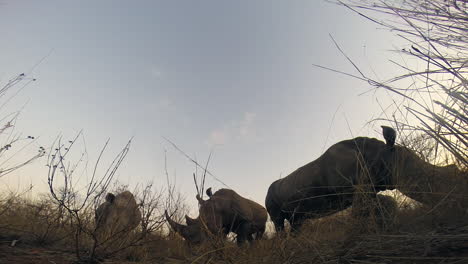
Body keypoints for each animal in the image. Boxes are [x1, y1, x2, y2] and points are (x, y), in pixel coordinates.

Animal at [266, 127, 468, 232]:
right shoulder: (356, 188)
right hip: (270, 198)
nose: (457, 197)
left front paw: (385, 229)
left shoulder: (370, 185)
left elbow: (382, 205)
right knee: (278, 221)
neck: (382, 154)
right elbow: (372, 207)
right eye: (422, 179)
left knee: (297, 222)